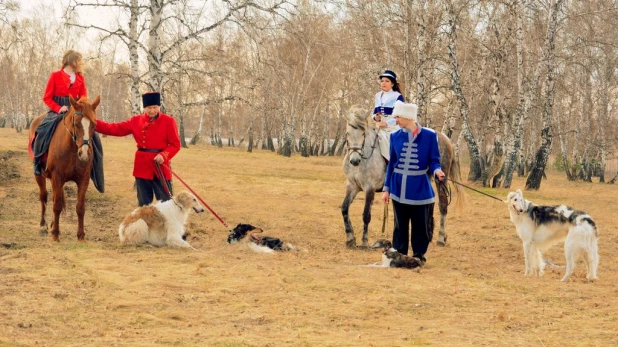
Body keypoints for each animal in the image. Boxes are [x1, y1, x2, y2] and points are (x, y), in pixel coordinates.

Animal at [29, 95, 100, 242]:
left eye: (94, 124)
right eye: (76, 123)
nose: (84, 154)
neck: (72, 149)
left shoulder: (83, 179)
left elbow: (80, 207)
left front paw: (81, 236)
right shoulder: (57, 177)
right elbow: (57, 206)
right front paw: (55, 235)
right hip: (40, 176)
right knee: (44, 196)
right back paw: (43, 225)